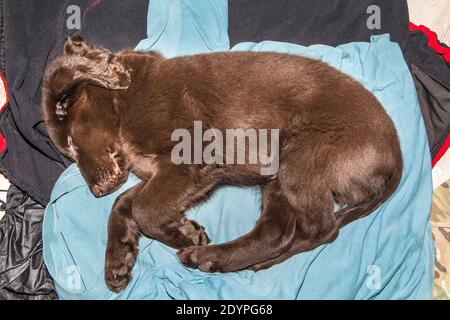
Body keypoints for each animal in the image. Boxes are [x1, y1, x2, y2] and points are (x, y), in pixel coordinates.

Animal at [40, 36, 402, 292]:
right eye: (67, 151)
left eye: (72, 142)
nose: (96, 191)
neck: (123, 101)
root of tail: (395, 156)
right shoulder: (176, 177)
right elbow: (124, 203)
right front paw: (118, 261)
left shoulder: (189, 160)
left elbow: (144, 209)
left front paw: (186, 235)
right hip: (276, 176)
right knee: (276, 232)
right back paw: (216, 260)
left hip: (301, 162)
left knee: (322, 229)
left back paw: (212, 257)